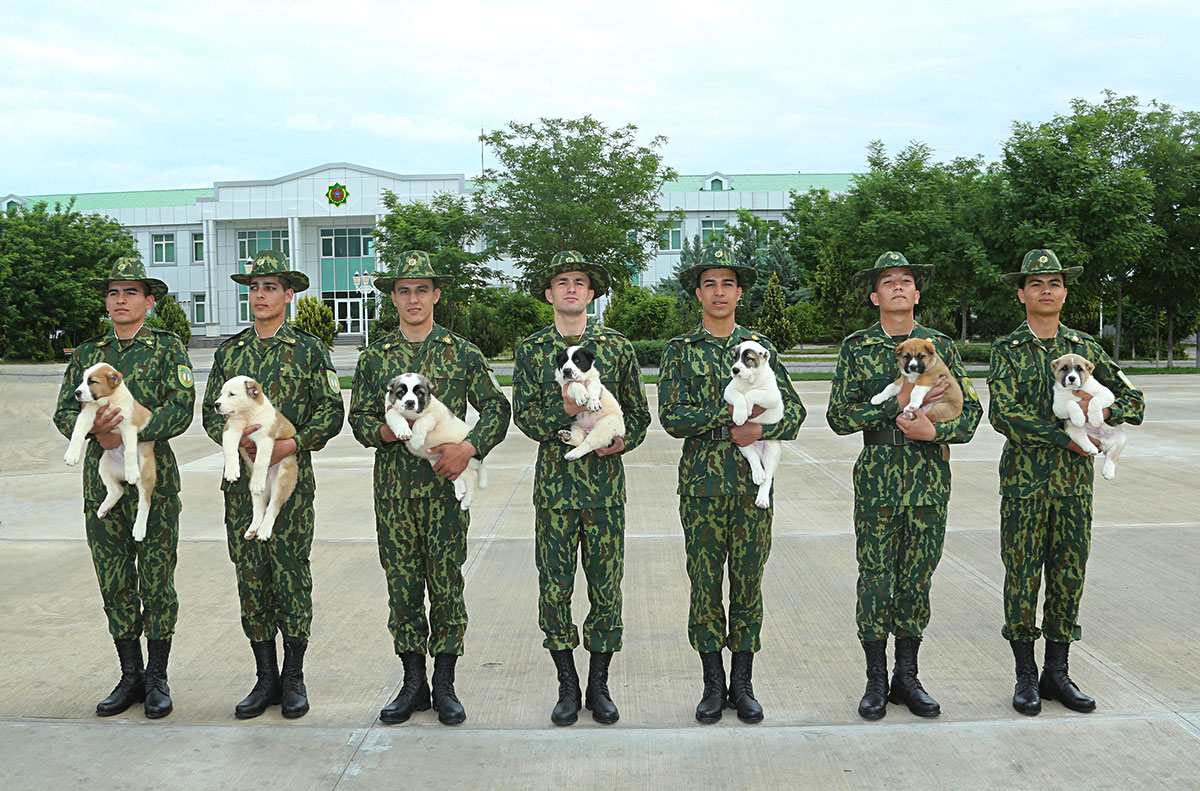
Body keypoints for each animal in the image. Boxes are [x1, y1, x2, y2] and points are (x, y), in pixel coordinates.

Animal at [63, 364, 156, 544]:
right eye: (82, 380)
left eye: (92, 381)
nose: (76, 393)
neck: (108, 400)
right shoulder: (87, 415)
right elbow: (77, 433)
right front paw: (72, 454)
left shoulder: (128, 426)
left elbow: (129, 449)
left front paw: (131, 471)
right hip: (104, 465)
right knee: (117, 489)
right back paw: (104, 508)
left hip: (146, 471)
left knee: (145, 501)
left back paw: (139, 529)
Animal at [216, 376, 300, 537]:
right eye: (221, 393)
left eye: (231, 394)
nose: (216, 404)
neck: (247, 414)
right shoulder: (230, 430)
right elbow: (230, 451)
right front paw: (231, 471)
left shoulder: (265, 439)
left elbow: (261, 461)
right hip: (254, 491)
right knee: (259, 509)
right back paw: (252, 529)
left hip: (283, 481)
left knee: (273, 507)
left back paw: (264, 530)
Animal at [379, 374, 482, 511]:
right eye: (401, 392)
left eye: (419, 393)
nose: (410, 402)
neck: (411, 416)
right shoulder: (390, 409)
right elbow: (395, 416)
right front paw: (403, 431)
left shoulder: (433, 415)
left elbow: (420, 421)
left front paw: (416, 441)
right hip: (441, 463)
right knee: (459, 476)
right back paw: (460, 491)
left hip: (461, 460)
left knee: (471, 477)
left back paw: (467, 501)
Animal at [720, 338, 787, 511]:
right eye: (735, 357)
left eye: (748, 358)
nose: (735, 369)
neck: (750, 380)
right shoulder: (729, 390)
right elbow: (739, 396)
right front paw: (740, 413)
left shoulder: (772, 395)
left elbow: (752, 393)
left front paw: (748, 407)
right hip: (742, 442)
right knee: (753, 458)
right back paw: (758, 473)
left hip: (772, 449)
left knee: (768, 477)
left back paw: (762, 498)